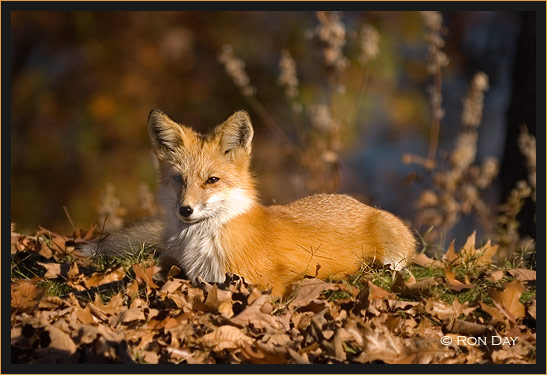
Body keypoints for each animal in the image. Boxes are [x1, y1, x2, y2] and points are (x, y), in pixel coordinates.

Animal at [80, 109, 416, 296]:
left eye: (212, 180)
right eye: (179, 179)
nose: (185, 210)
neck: (205, 245)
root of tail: (359, 203)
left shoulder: (271, 281)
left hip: (391, 253)